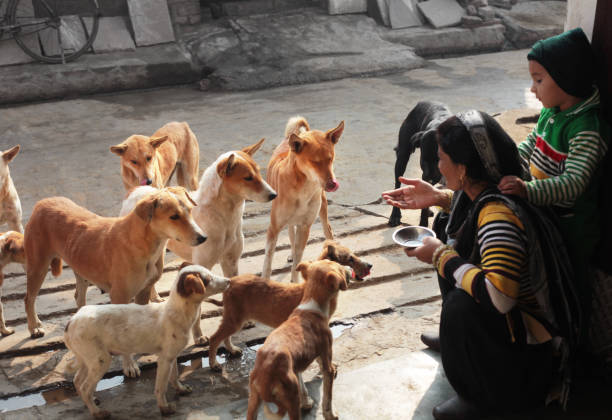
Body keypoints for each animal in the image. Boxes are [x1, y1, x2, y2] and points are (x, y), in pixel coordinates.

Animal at [24, 186, 206, 348]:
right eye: (174, 216)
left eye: (190, 210)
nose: (203, 237)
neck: (143, 241)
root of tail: (43, 202)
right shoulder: (119, 296)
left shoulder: (144, 291)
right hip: (38, 266)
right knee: (29, 298)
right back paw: (34, 327)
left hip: (80, 265)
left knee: (78, 296)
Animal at [64, 264, 230, 418]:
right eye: (208, 279)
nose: (229, 280)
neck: (177, 312)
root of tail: (71, 322)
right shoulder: (164, 359)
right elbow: (160, 388)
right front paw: (164, 408)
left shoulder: (171, 356)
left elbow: (174, 377)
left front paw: (181, 389)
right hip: (101, 360)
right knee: (85, 387)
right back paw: (97, 413)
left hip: (88, 359)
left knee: (77, 381)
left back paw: (91, 401)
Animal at [208, 240, 370, 380]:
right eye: (350, 259)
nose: (370, 265)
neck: (314, 288)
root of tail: (230, 283)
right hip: (235, 319)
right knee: (215, 338)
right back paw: (213, 364)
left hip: (233, 317)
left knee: (225, 336)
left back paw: (232, 350)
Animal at [245, 260, 350, 420]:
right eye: (339, 267)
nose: (350, 269)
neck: (312, 306)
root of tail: (266, 371)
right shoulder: (327, 364)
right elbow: (327, 398)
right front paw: (330, 415)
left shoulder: (297, 366)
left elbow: (303, 386)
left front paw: (307, 402)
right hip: (291, 398)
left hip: (254, 400)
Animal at [260, 116, 344, 284]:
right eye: (315, 162)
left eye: (330, 159)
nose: (332, 184)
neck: (304, 188)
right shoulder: (274, 228)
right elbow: (268, 262)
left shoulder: (305, 226)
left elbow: (298, 263)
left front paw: (295, 282)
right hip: (289, 222)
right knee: (291, 234)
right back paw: (291, 253)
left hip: (322, 209)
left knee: (327, 230)